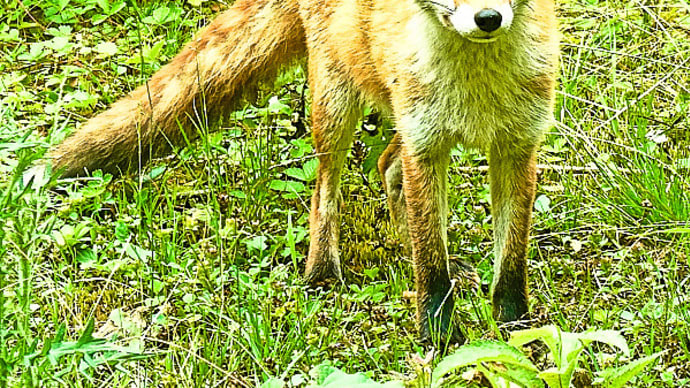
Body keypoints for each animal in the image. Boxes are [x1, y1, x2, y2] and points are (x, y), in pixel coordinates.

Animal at [47, 0, 552, 340]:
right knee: (326, 191)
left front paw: (516, 330)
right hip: (335, 105)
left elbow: (510, 261)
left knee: (387, 166)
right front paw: (440, 338)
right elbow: (430, 264)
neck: (477, 86)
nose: (488, 18)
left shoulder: (518, 146)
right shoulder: (425, 144)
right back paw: (321, 272)